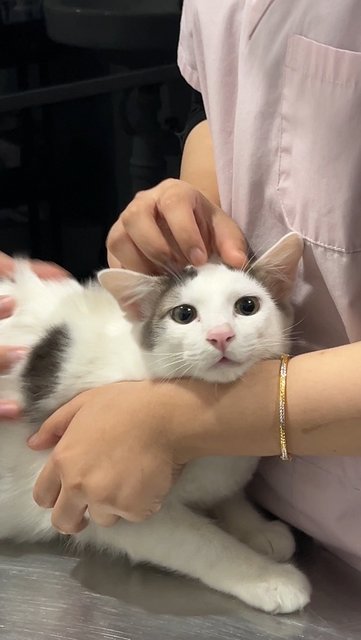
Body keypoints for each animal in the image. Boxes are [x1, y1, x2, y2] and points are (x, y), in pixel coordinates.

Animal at [0, 231, 310, 616]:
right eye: (184, 314)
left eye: (247, 306)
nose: (220, 335)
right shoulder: (95, 499)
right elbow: (204, 544)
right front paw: (268, 577)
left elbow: (228, 493)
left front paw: (256, 527)